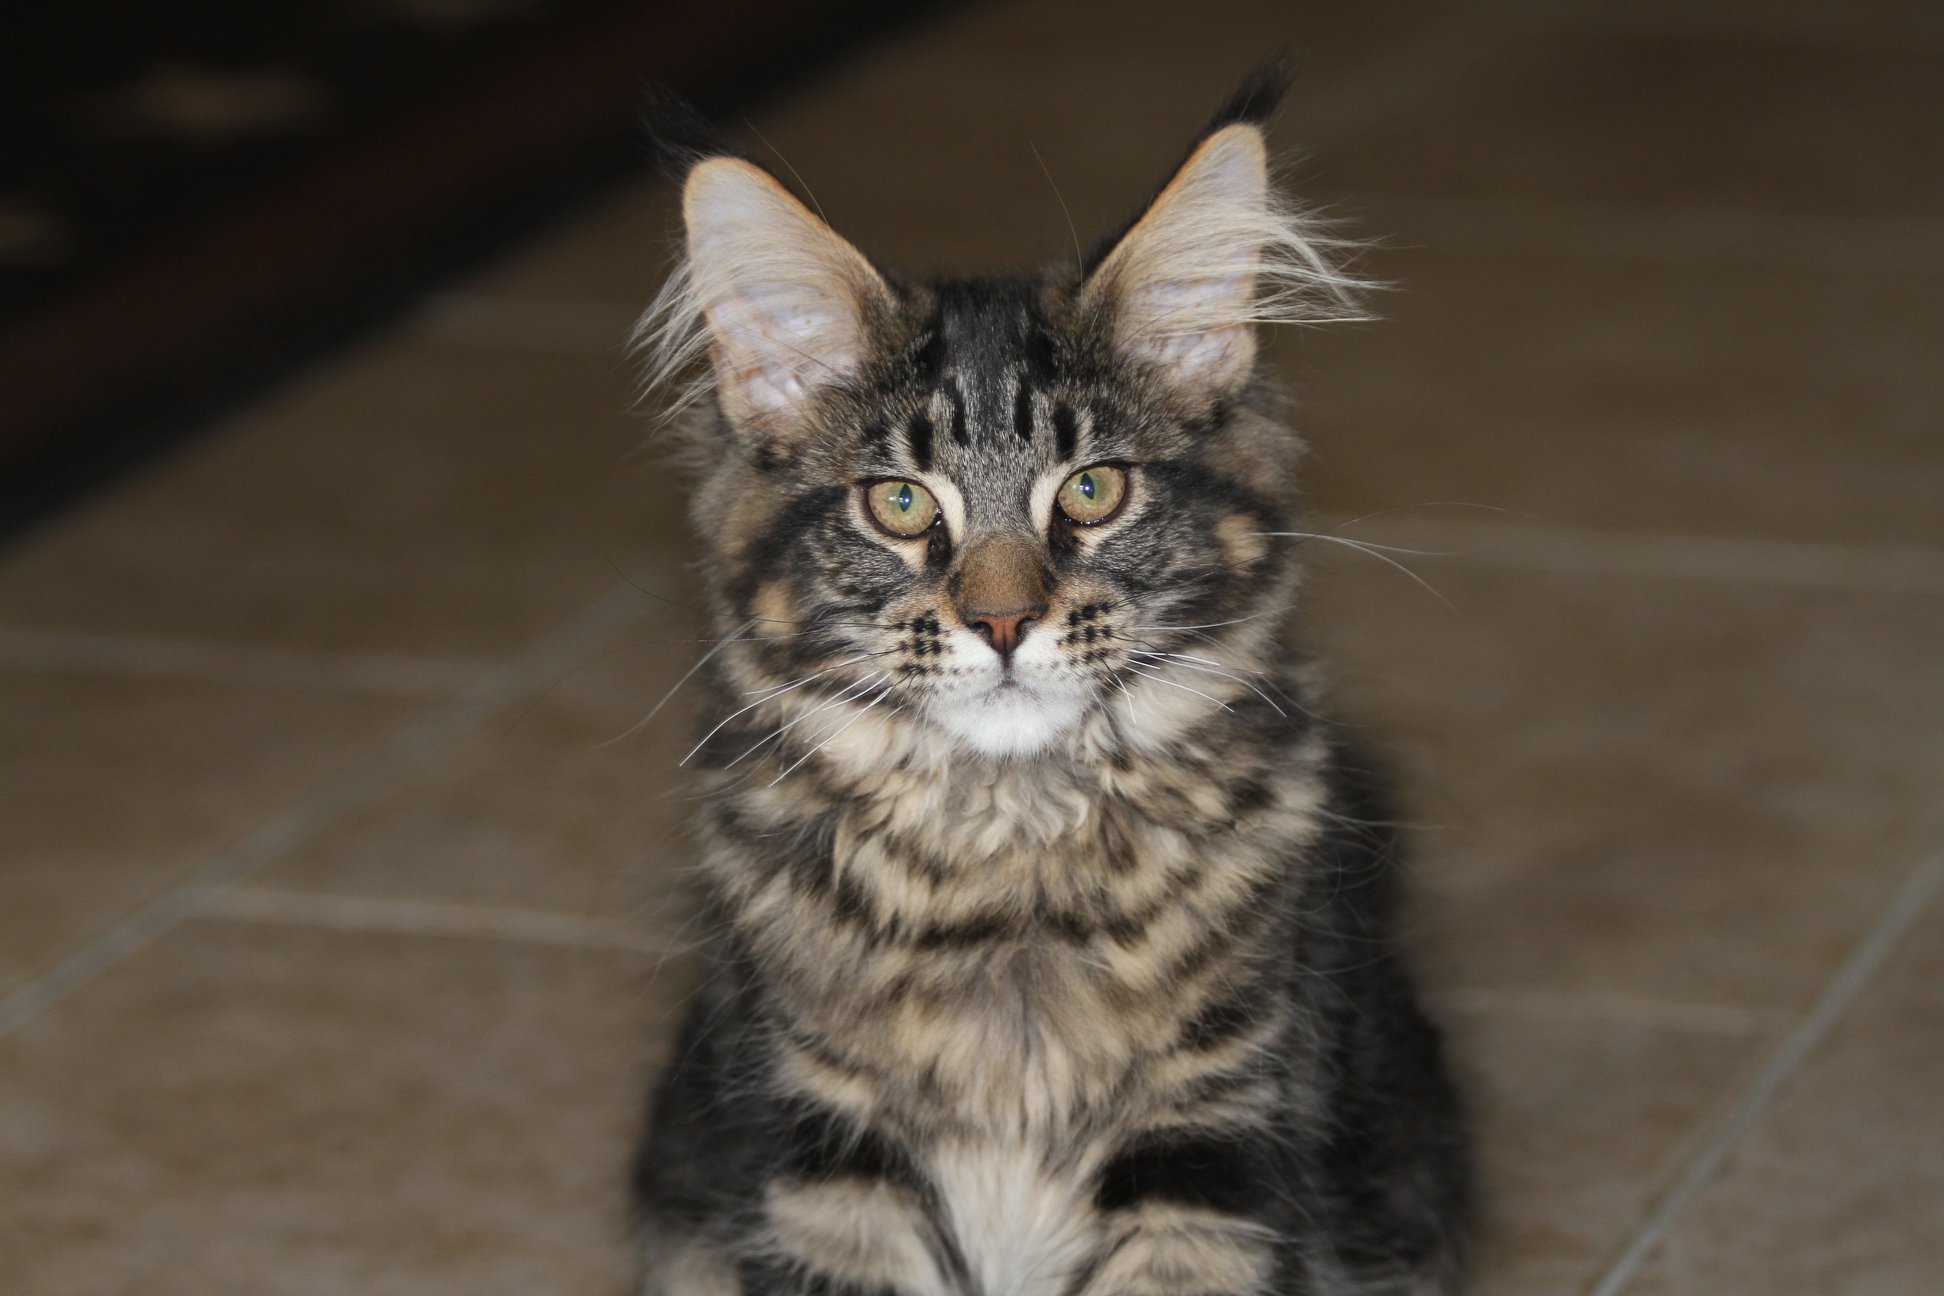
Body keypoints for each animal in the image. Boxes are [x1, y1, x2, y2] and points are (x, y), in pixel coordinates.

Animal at [629, 68, 1461, 1296]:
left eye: (1092, 491)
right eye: (901, 504)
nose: (1004, 621)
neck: (1010, 861)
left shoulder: (1211, 1147)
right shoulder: (821, 1152)